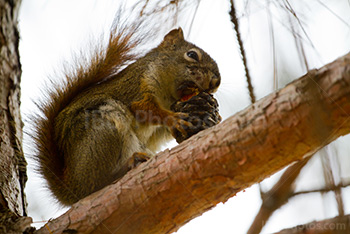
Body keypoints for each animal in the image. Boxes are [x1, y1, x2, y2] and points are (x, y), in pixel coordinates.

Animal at [32, 25, 221, 205]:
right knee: (95, 186)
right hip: (103, 131)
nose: (215, 83)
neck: (168, 96)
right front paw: (174, 119)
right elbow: (146, 109)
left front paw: (213, 118)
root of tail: (71, 186)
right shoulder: (138, 86)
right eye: (192, 54)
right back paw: (129, 164)